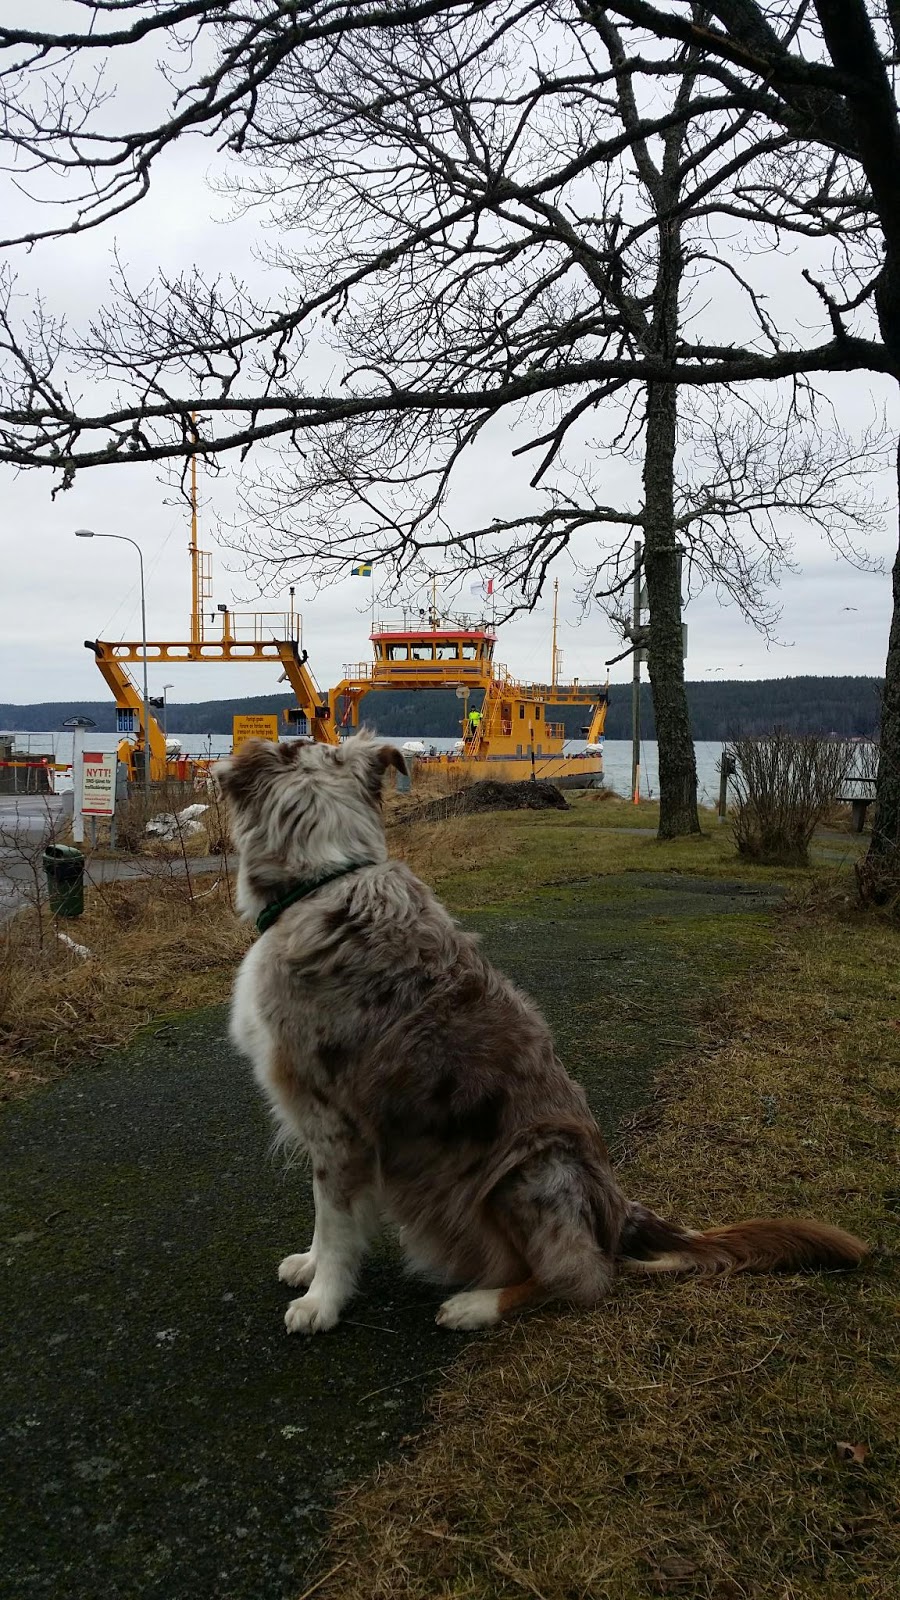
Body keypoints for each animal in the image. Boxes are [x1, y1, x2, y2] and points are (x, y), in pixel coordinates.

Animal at [216, 732, 867, 1335]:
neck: (325, 879)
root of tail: (619, 1212)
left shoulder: (334, 1121)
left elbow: (335, 1221)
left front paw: (322, 1300)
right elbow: (330, 1220)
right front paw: (308, 1266)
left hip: (526, 1172)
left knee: (580, 1277)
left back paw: (476, 1305)